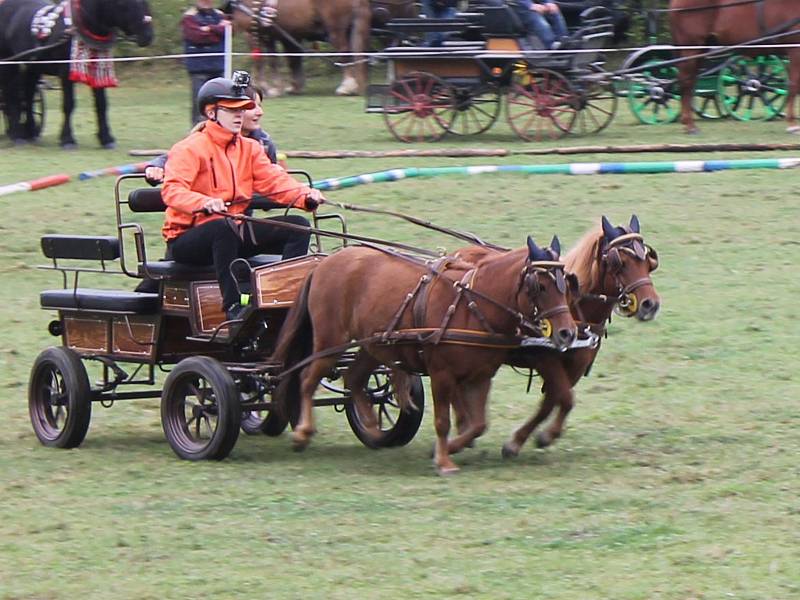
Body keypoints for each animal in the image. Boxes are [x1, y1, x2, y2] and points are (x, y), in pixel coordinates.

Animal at [0, 0, 153, 148]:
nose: (148, 35)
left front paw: (106, 138)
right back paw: (17, 135)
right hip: (10, 64)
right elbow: (69, 104)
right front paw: (67, 139)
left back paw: (30, 132)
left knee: (28, 96)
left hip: (34, 66)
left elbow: (102, 104)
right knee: (13, 96)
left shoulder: (97, 71)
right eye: (123, 4)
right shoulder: (65, 73)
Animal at [228, 0, 372, 95]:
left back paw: (346, 86)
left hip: (336, 30)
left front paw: (265, 87)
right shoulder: (280, 35)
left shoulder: (257, 34)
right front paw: (289, 87)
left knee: (344, 51)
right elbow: (287, 60)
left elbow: (264, 60)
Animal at [276, 234, 576, 474]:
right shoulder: (442, 374)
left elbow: (477, 424)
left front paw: (449, 448)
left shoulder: (480, 377)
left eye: (567, 284)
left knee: (354, 378)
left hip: (373, 345)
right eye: (540, 286)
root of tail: (323, 263)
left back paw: (371, 426)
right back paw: (303, 433)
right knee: (307, 379)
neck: (474, 304)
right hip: (330, 340)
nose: (567, 333)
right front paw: (444, 461)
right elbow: (444, 421)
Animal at [454, 214, 660, 454]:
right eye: (621, 263)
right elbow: (565, 398)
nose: (650, 305)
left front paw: (532, 438)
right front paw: (530, 439)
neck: (575, 307)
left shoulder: (577, 364)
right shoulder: (545, 358)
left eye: (648, 262)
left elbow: (553, 400)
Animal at [668, 0, 800, 134]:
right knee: (686, 83)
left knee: (690, 82)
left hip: (702, 50)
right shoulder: (795, 50)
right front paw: (792, 125)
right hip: (691, 49)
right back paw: (689, 125)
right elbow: (794, 85)